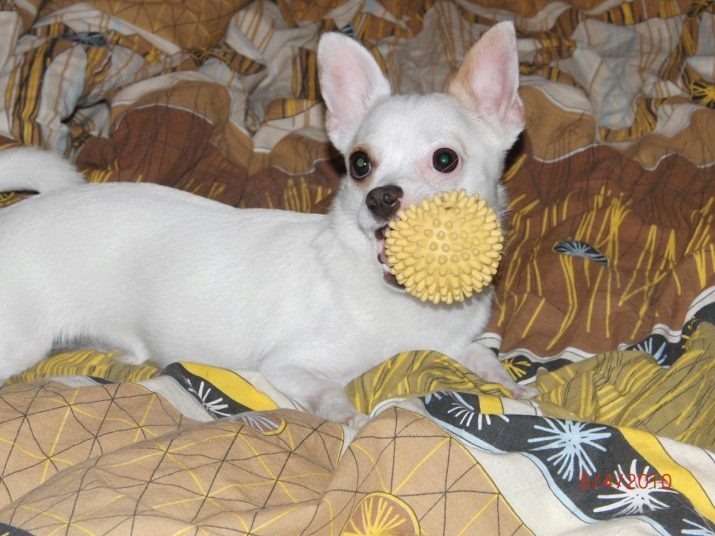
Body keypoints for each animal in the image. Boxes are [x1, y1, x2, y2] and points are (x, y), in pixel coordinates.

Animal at [0, 22, 532, 426]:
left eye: (445, 160)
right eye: (360, 165)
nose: (380, 196)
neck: (406, 302)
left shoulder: (455, 343)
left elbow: (481, 355)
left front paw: (510, 383)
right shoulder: (290, 366)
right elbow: (331, 393)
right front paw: (352, 419)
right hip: (19, 342)